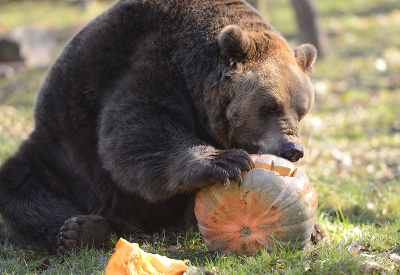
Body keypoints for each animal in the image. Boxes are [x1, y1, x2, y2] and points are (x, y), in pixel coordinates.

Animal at [0, 0, 318, 256]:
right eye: (270, 107)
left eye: (301, 110)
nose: (293, 149)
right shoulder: (152, 62)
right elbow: (137, 130)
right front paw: (226, 161)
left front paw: (316, 229)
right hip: (62, 157)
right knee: (25, 190)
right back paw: (80, 230)